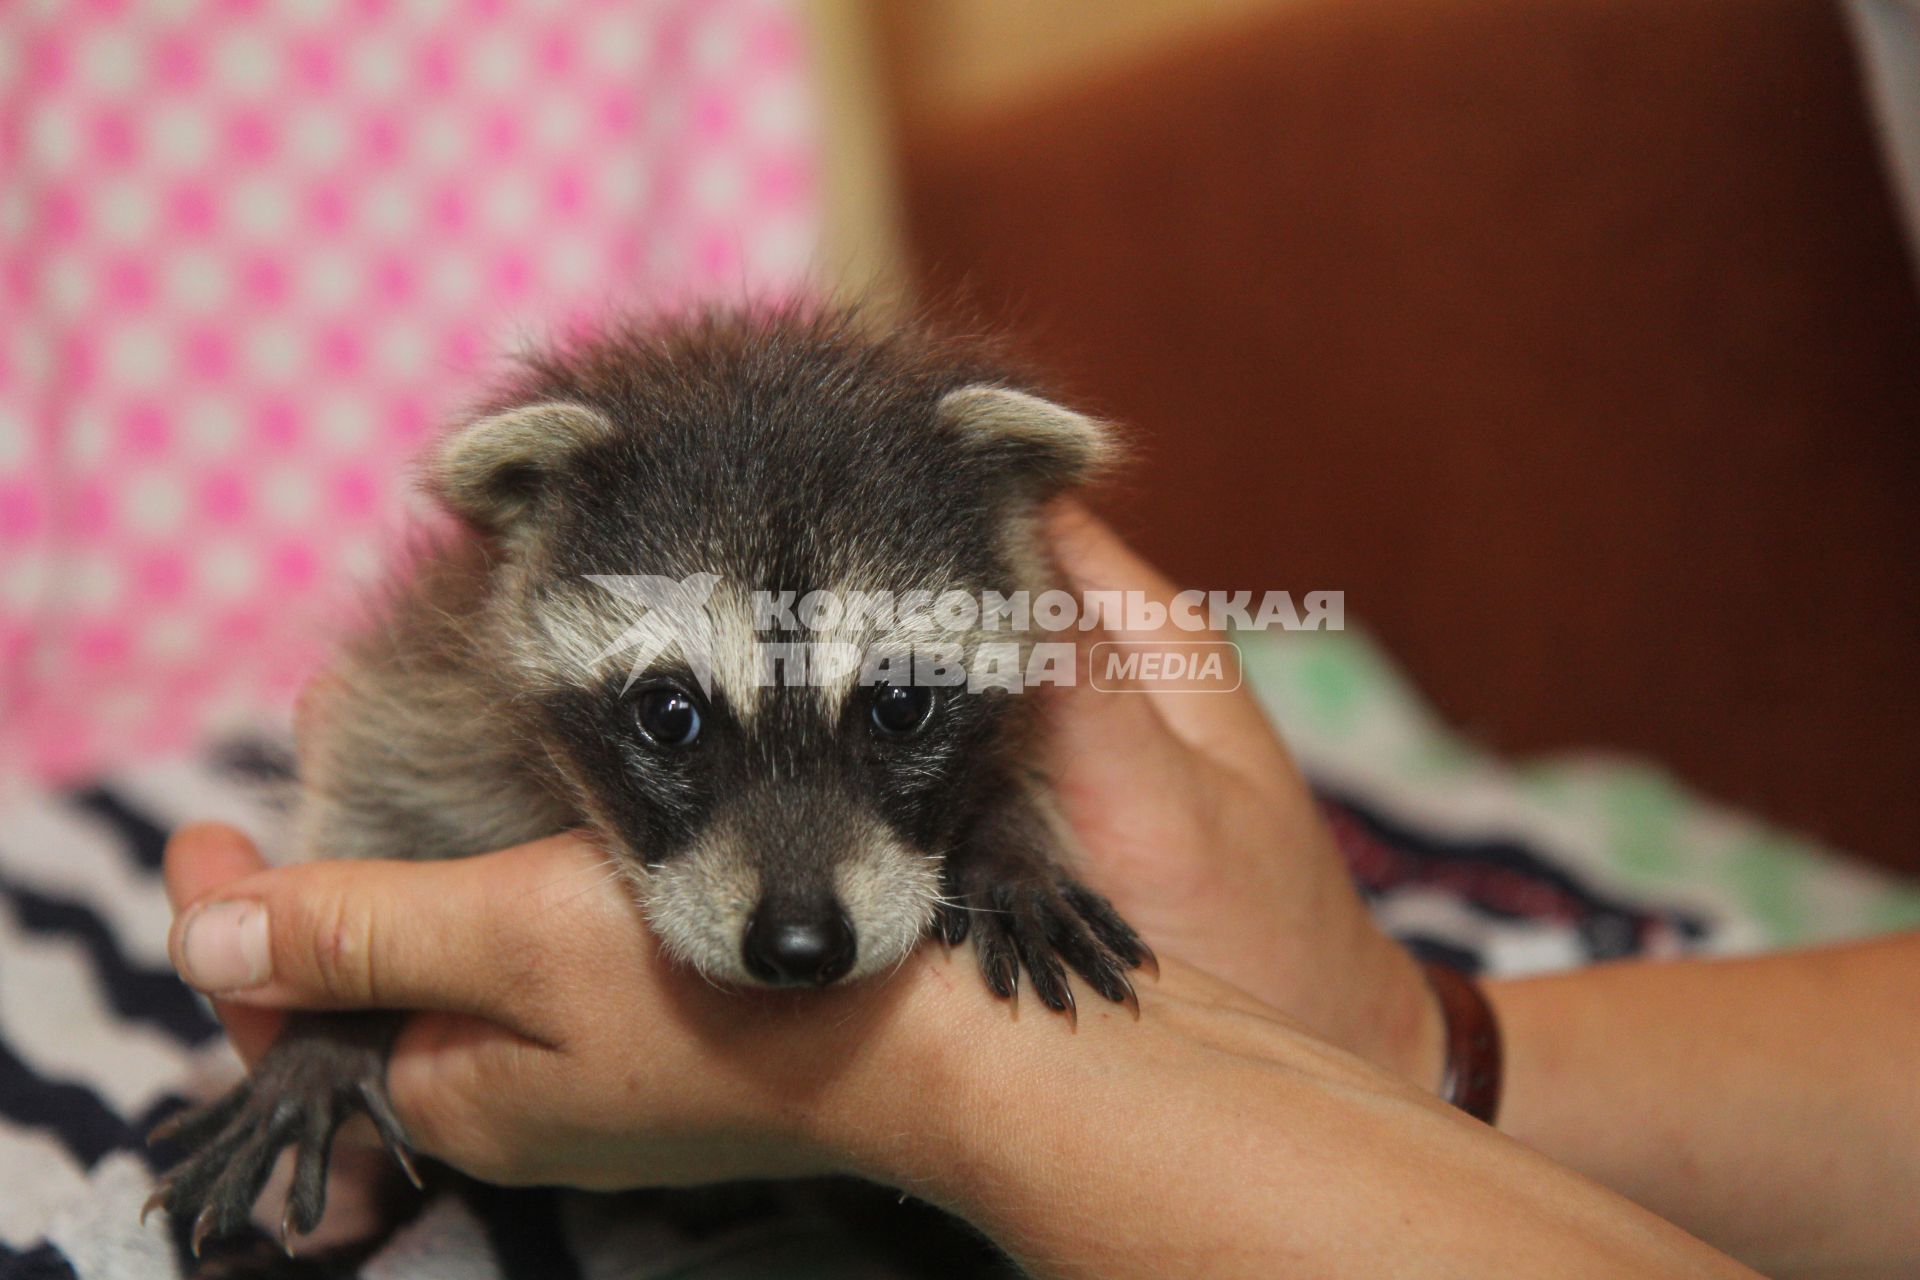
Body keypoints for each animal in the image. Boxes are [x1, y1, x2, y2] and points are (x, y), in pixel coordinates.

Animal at [145, 307, 1152, 1251]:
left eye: (900, 704)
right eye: (670, 716)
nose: (800, 945)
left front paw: (1008, 844)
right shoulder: (438, 692)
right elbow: (381, 793)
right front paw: (327, 1035)